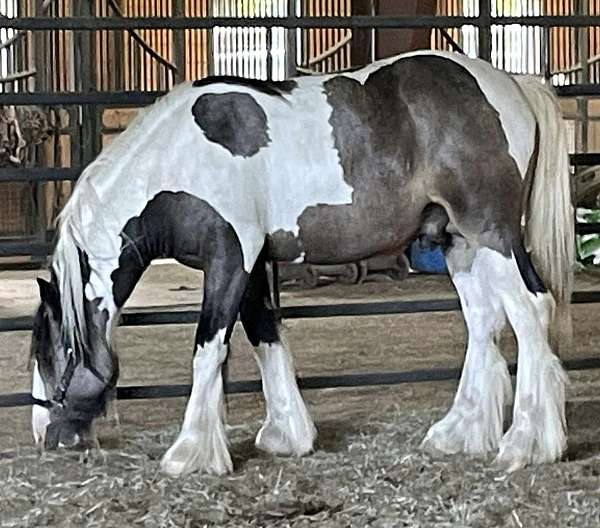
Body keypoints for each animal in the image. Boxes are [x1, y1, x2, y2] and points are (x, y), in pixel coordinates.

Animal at [30, 51, 576, 476]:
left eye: (48, 354)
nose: (44, 435)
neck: (179, 159)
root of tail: (513, 85)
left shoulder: (229, 256)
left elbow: (209, 349)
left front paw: (189, 454)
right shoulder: (250, 265)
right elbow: (266, 337)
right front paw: (286, 435)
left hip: (492, 233)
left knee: (531, 310)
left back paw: (527, 445)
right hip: (458, 242)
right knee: (484, 321)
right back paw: (460, 432)